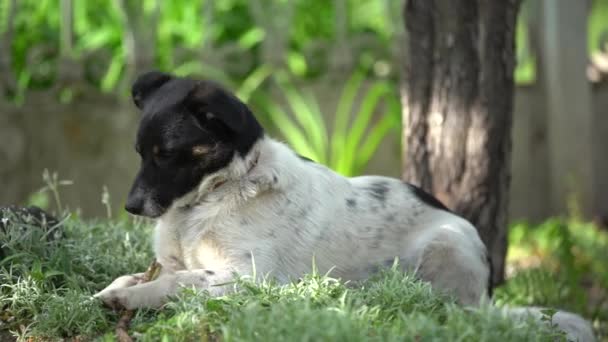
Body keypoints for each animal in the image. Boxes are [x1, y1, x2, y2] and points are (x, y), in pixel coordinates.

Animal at [95, 71, 592, 340]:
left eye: (166, 154)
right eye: (140, 152)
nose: (132, 207)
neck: (213, 195)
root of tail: (489, 294)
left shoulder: (247, 278)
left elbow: (176, 283)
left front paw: (129, 298)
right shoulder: (172, 261)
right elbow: (145, 275)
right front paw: (112, 290)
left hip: (447, 245)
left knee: (451, 309)